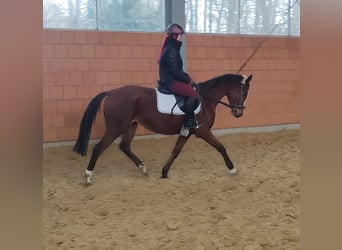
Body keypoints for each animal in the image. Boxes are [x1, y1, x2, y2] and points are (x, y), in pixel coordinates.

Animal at [73, 72, 252, 184]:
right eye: (244, 93)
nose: (239, 113)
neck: (205, 99)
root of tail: (111, 92)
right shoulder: (203, 131)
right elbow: (221, 147)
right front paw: (233, 169)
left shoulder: (187, 132)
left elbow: (176, 151)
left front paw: (164, 172)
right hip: (116, 127)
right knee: (99, 147)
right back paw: (88, 176)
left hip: (131, 125)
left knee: (124, 146)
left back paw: (143, 169)